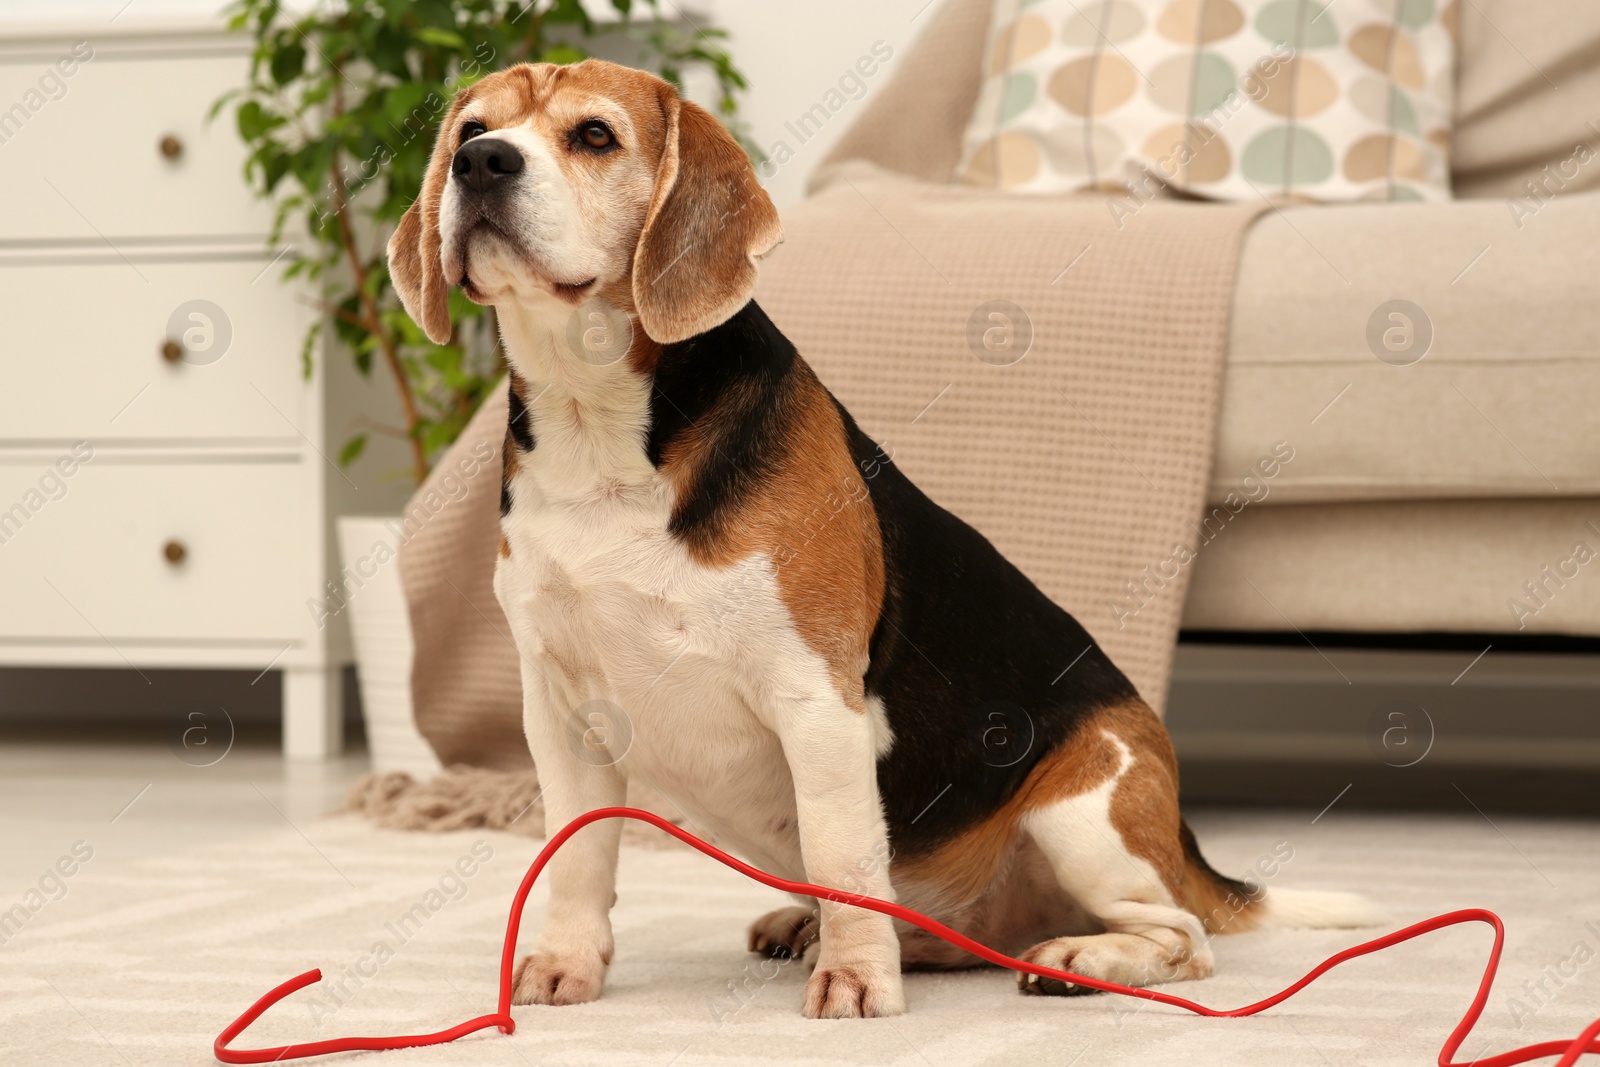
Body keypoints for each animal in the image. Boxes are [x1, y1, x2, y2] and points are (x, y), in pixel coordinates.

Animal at [387, 56, 1376, 1017]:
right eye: (473, 129)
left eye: (594, 136)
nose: (481, 165)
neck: (598, 428)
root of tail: (1178, 835)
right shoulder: (559, 714)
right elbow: (576, 858)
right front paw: (566, 962)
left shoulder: (816, 697)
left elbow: (842, 853)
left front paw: (858, 979)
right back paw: (831, 929)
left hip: (1086, 815)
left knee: (1183, 938)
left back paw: (1076, 958)